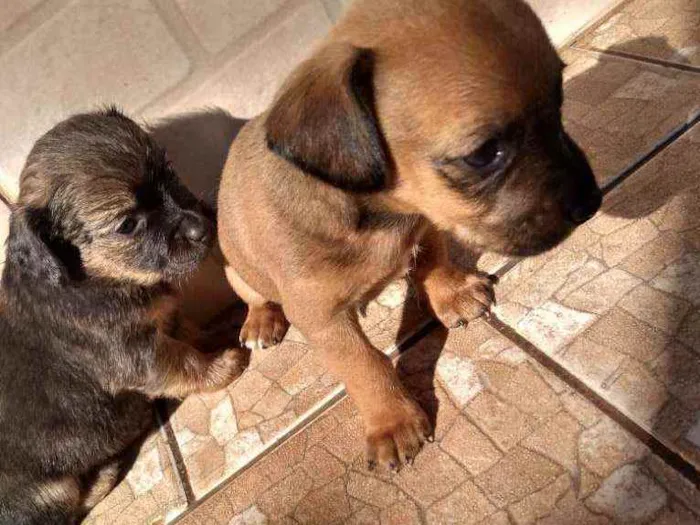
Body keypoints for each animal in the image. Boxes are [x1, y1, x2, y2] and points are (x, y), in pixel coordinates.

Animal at [219, 0, 600, 468]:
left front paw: (452, 293)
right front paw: (392, 421)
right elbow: (364, 365)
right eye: (483, 154)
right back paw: (260, 321)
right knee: (254, 296)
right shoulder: (322, 318)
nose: (592, 202)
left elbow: (434, 259)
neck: (382, 215)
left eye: (560, 99)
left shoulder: (427, 221)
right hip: (234, 271)